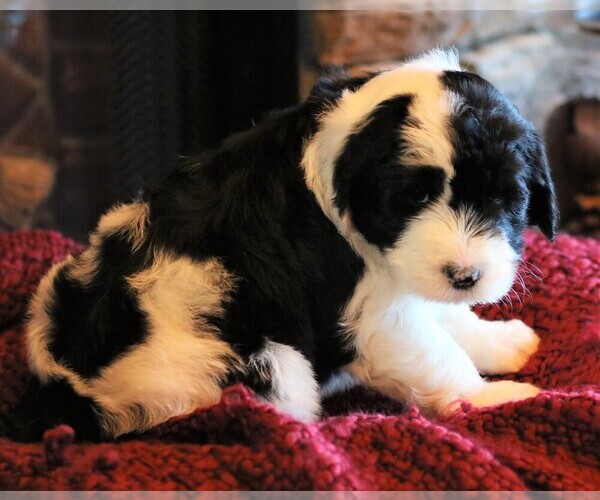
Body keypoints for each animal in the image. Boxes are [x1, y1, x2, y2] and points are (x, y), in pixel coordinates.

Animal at [16, 49, 556, 442]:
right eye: (415, 198)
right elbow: (435, 354)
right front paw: (493, 399)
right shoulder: (366, 316)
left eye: (506, 200)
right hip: (263, 363)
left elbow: (446, 315)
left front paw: (503, 341)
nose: (467, 276)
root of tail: (65, 387)